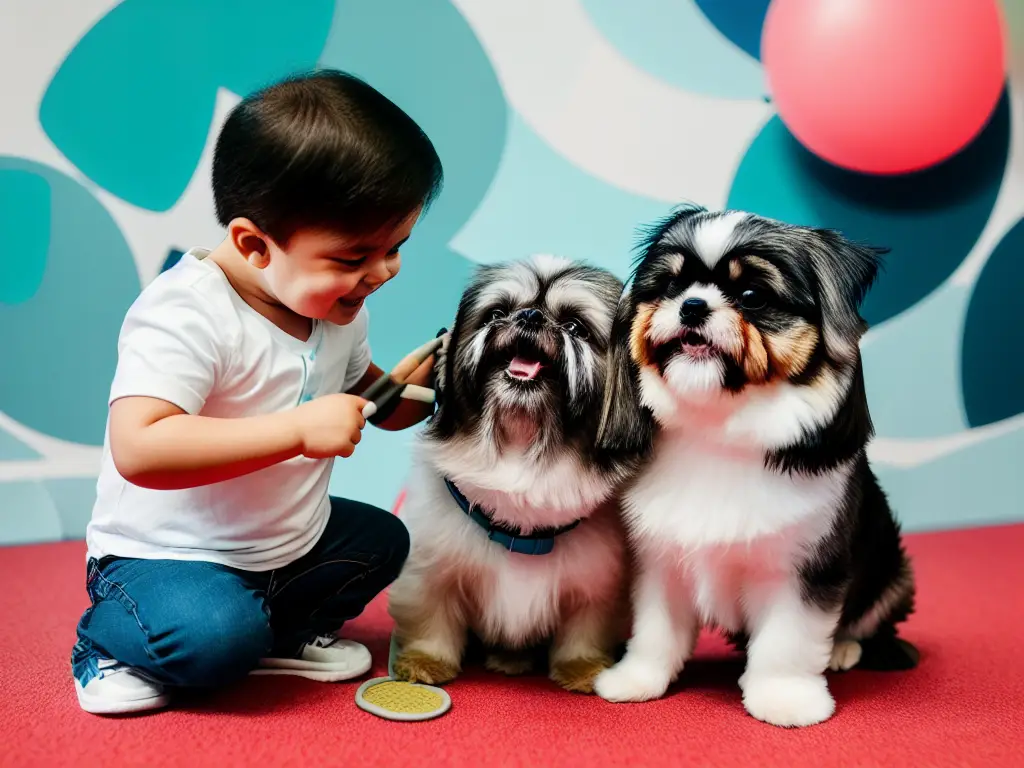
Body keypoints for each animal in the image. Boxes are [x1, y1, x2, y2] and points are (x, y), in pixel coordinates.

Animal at [387, 256, 634, 696]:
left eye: (575, 327)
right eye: (496, 313)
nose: (530, 315)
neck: (520, 453)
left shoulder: (596, 589)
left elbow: (584, 633)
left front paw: (583, 669)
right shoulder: (431, 571)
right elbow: (432, 619)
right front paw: (424, 662)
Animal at [593, 207, 921, 729]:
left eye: (752, 296)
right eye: (670, 285)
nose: (692, 306)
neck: (718, 431)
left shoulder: (804, 569)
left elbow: (787, 644)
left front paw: (785, 699)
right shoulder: (659, 560)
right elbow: (656, 632)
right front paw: (636, 679)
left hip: (893, 572)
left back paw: (843, 650)